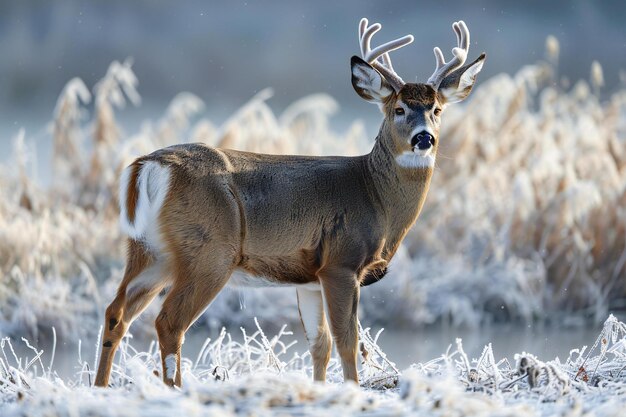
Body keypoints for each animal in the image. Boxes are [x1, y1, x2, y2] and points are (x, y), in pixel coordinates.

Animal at [94, 17, 482, 386]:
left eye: (437, 109)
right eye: (399, 109)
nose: (424, 138)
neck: (374, 196)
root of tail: (149, 165)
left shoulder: (309, 278)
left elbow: (320, 345)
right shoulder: (341, 262)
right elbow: (348, 341)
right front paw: (352, 390)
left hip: (151, 251)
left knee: (115, 311)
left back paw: (101, 386)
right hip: (209, 252)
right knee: (169, 322)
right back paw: (174, 388)